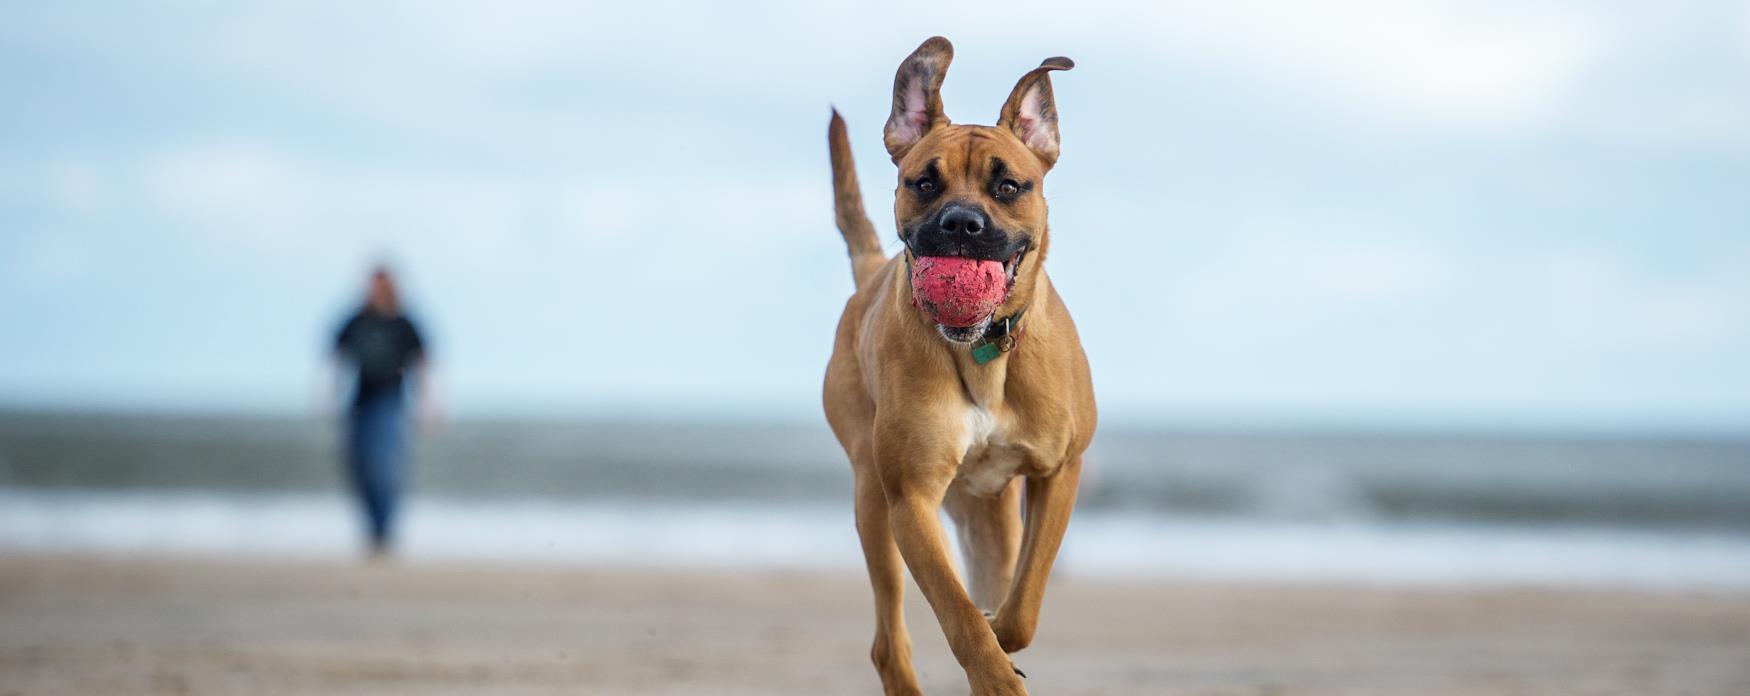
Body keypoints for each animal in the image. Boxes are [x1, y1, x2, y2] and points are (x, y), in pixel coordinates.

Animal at [819, 38, 1092, 696]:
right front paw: (995, 675)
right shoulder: (911, 501)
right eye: (923, 182)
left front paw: (1002, 636)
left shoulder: (1059, 472)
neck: (982, 352)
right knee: (888, 643)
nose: (962, 223)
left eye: (1010, 186)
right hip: (873, 502)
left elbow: (1021, 604)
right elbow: (959, 614)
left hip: (988, 515)